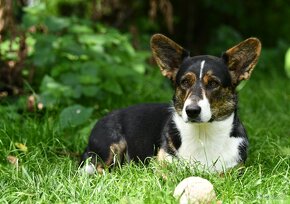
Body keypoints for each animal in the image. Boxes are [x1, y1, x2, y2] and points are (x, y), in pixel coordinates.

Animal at [80, 33, 262, 174]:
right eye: (185, 82)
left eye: (213, 83)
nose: (192, 111)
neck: (203, 134)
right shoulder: (161, 165)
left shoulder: (235, 170)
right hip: (112, 145)